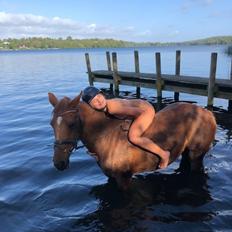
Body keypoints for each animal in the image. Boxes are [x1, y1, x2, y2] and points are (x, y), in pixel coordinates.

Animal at [48, 91, 217, 189]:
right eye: (51, 124)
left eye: (71, 124)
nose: (59, 163)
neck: (103, 134)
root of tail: (206, 112)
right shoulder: (111, 177)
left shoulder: (123, 178)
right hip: (186, 152)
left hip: (196, 155)